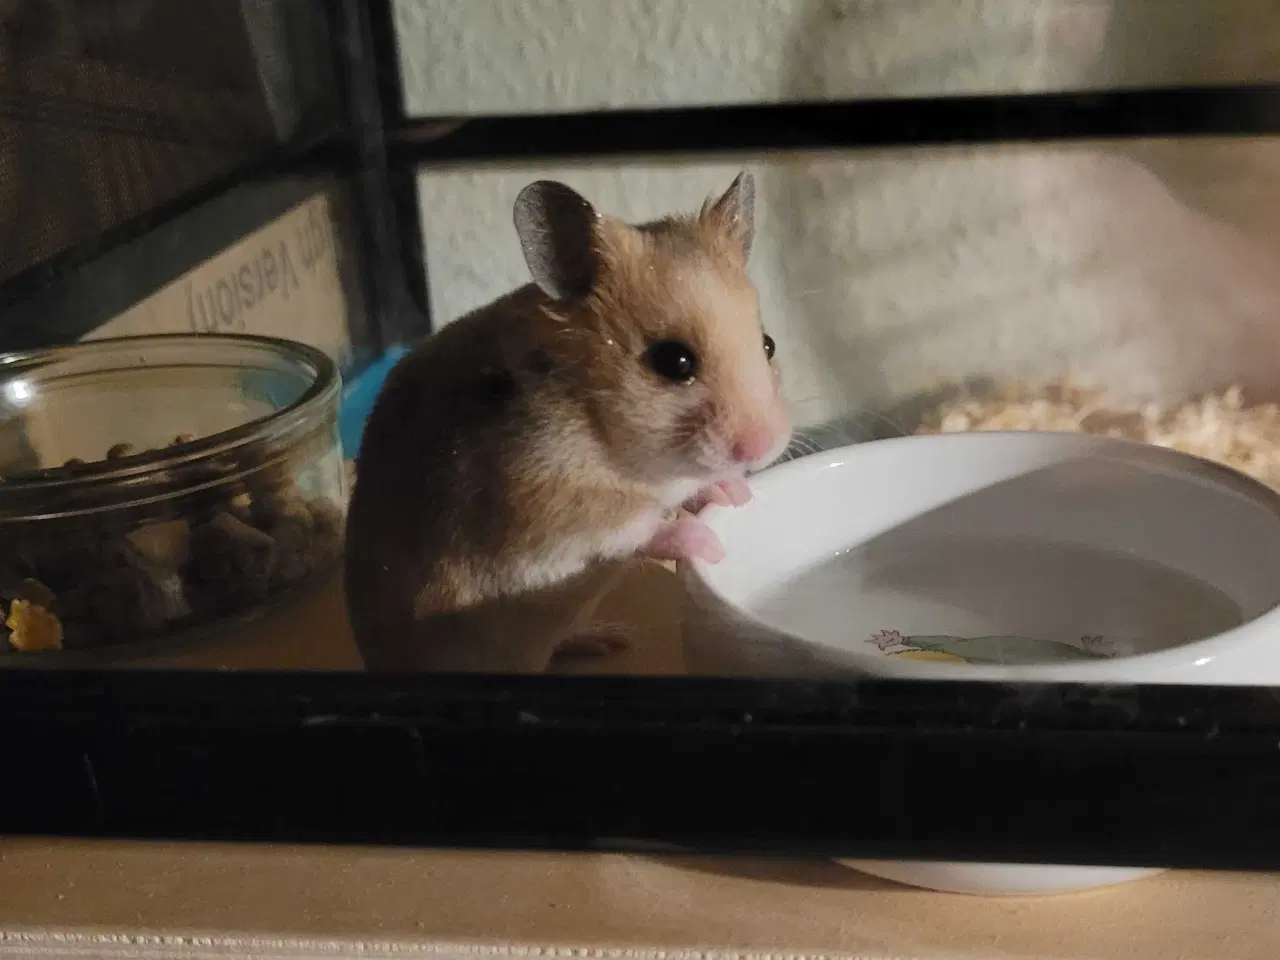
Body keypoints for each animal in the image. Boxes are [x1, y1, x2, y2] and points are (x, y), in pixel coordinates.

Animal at [344, 172, 792, 673]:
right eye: (674, 362)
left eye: (769, 344)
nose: (766, 447)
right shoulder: (540, 500)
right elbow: (636, 525)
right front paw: (709, 541)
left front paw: (736, 492)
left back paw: (606, 638)